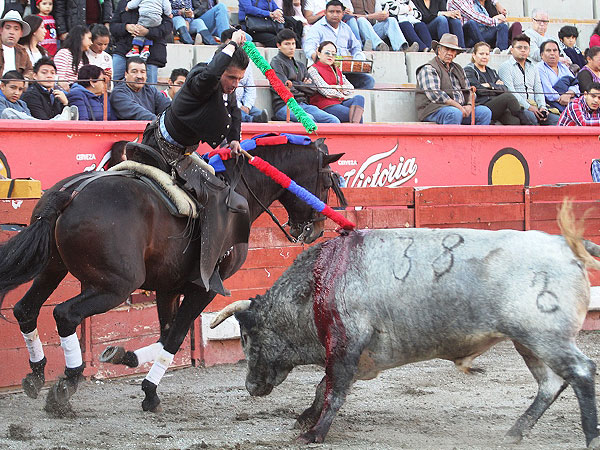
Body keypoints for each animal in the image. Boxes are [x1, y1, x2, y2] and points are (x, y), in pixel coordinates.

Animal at [0, 137, 342, 414]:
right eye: (327, 181)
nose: (315, 231)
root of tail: (70, 194)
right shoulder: (204, 289)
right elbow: (176, 336)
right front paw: (150, 392)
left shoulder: (169, 287)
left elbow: (165, 333)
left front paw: (124, 357)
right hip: (114, 286)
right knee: (64, 313)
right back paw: (67, 383)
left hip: (53, 267)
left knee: (26, 309)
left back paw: (36, 375)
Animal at [211, 205, 600, 446]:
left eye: (246, 336)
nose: (250, 386)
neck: (317, 283)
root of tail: (565, 244)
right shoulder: (357, 355)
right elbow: (325, 386)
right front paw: (306, 418)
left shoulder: (347, 342)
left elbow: (333, 390)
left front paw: (314, 433)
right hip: (529, 341)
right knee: (551, 383)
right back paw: (514, 433)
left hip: (544, 336)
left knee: (581, 371)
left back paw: (590, 435)